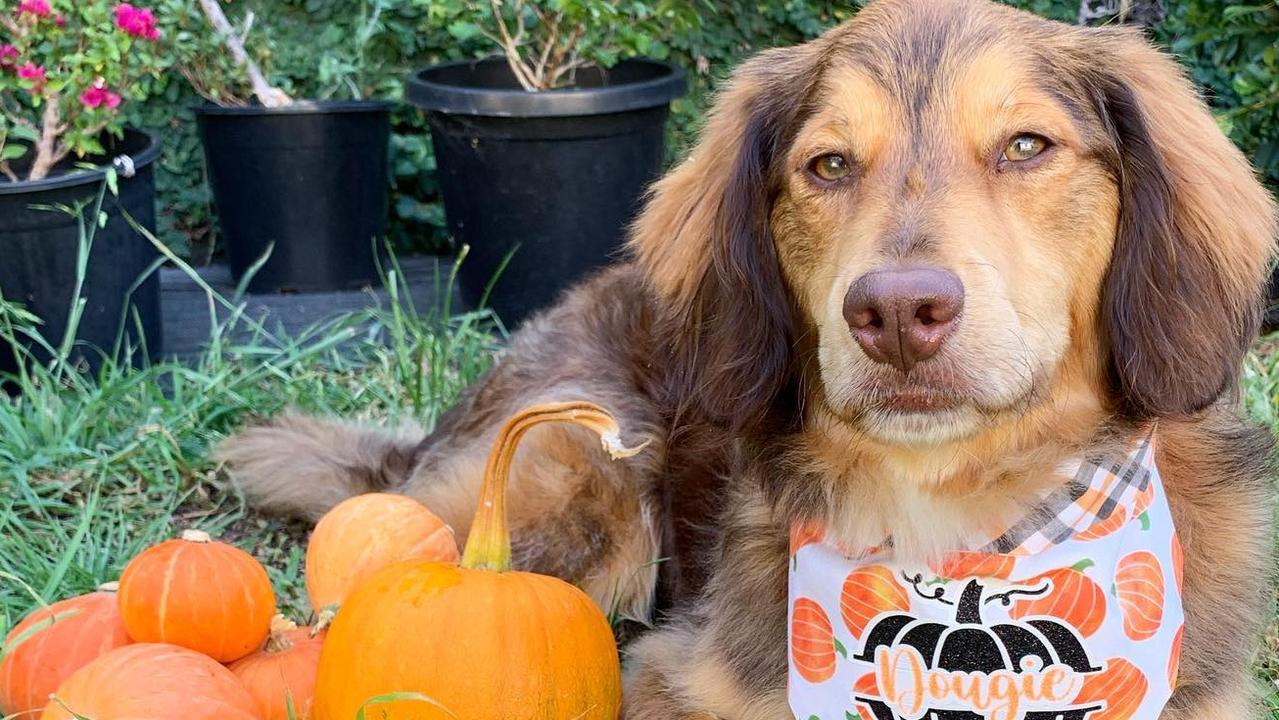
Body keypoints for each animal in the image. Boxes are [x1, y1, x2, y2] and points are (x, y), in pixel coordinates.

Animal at [219, 2, 1279, 716]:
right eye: (828, 165)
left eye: (1026, 146)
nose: (898, 314)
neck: (956, 516)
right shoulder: (667, 673)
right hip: (584, 485)